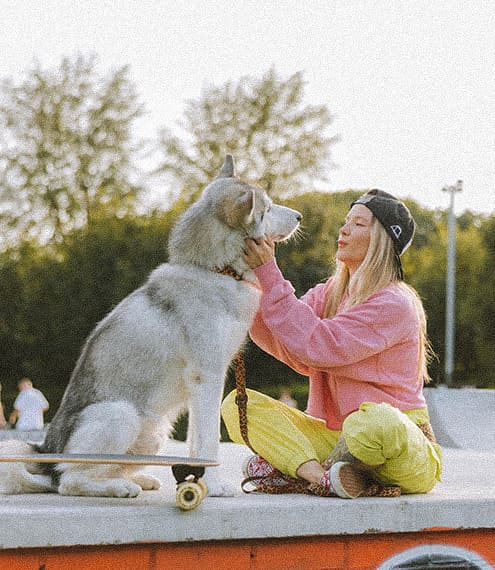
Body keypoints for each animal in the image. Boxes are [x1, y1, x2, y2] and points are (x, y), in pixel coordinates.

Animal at [0, 153, 302, 494]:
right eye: (268, 208)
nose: (300, 216)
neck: (213, 270)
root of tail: (46, 452)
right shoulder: (207, 377)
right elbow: (208, 440)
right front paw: (213, 484)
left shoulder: (204, 383)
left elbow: (196, 442)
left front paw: (199, 480)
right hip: (121, 414)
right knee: (69, 481)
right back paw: (117, 488)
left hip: (155, 432)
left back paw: (134, 479)